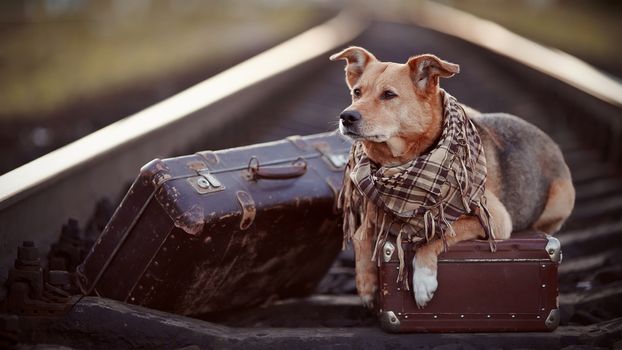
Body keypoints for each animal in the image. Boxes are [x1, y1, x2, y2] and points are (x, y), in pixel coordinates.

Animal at [330, 47, 576, 308]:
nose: (346, 117)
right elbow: (360, 236)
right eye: (357, 92)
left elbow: (442, 233)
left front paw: (423, 279)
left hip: (561, 199)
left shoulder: (495, 219)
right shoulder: (374, 213)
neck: (404, 168)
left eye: (388, 95)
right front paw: (366, 284)